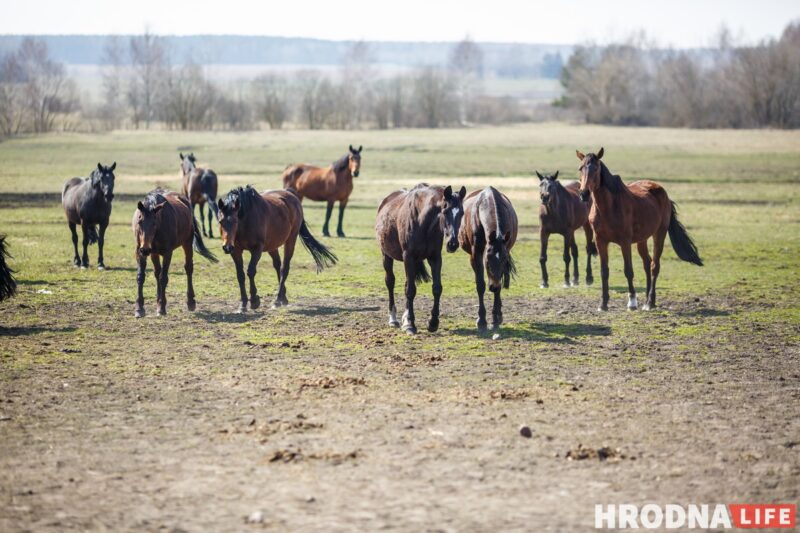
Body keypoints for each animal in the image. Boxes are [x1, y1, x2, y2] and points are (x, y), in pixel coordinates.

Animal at [132, 189, 218, 318]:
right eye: (139, 221)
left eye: (154, 223)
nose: (145, 249)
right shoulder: (140, 251)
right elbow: (141, 277)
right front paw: (139, 308)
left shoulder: (167, 253)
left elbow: (163, 278)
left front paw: (162, 307)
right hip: (154, 253)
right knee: (157, 272)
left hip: (187, 243)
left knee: (188, 268)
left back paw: (190, 302)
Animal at [375, 183, 466, 334]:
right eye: (445, 211)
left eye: (462, 213)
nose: (452, 244)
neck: (424, 222)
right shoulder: (408, 257)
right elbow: (411, 290)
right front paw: (411, 325)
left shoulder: (435, 258)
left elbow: (436, 288)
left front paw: (433, 322)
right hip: (386, 255)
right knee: (390, 282)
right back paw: (393, 319)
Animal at [459, 187, 518, 332]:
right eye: (487, 260)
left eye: (503, 260)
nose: (493, 286)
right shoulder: (476, 255)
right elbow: (480, 285)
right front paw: (481, 321)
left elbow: (500, 283)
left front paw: (496, 318)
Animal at [577, 148, 703, 311]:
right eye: (580, 168)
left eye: (596, 168)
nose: (583, 194)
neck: (609, 206)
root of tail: (662, 193)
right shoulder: (600, 241)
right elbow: (604, 271)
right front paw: (603, 304)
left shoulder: (625, 242)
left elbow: (628, 271)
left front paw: (632, 302)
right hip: (642, 240)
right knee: (647, 263)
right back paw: (648, 299)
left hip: (659, 234)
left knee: (654, 266)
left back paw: (650, 302)